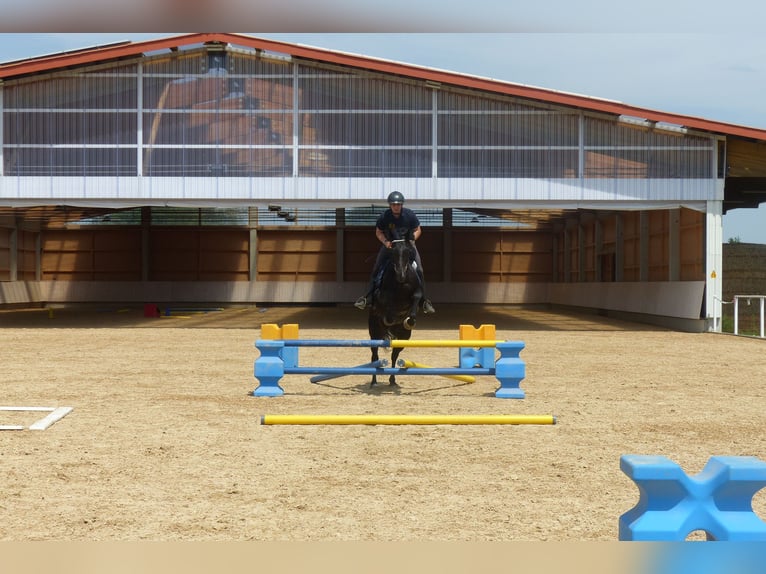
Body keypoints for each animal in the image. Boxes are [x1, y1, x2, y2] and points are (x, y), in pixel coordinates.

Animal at [367, 238, 424, 387]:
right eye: (393, 253)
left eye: (408, 253)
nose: (401, 275)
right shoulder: (381, 295)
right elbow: (387, 303)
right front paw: (390, 318)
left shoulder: (417, 292)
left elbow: (416, 298)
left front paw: (410, 320)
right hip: (374, 333)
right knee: (375, 357)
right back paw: (374, 382)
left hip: (404, 337)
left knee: (394, 356)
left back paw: (392, 380)